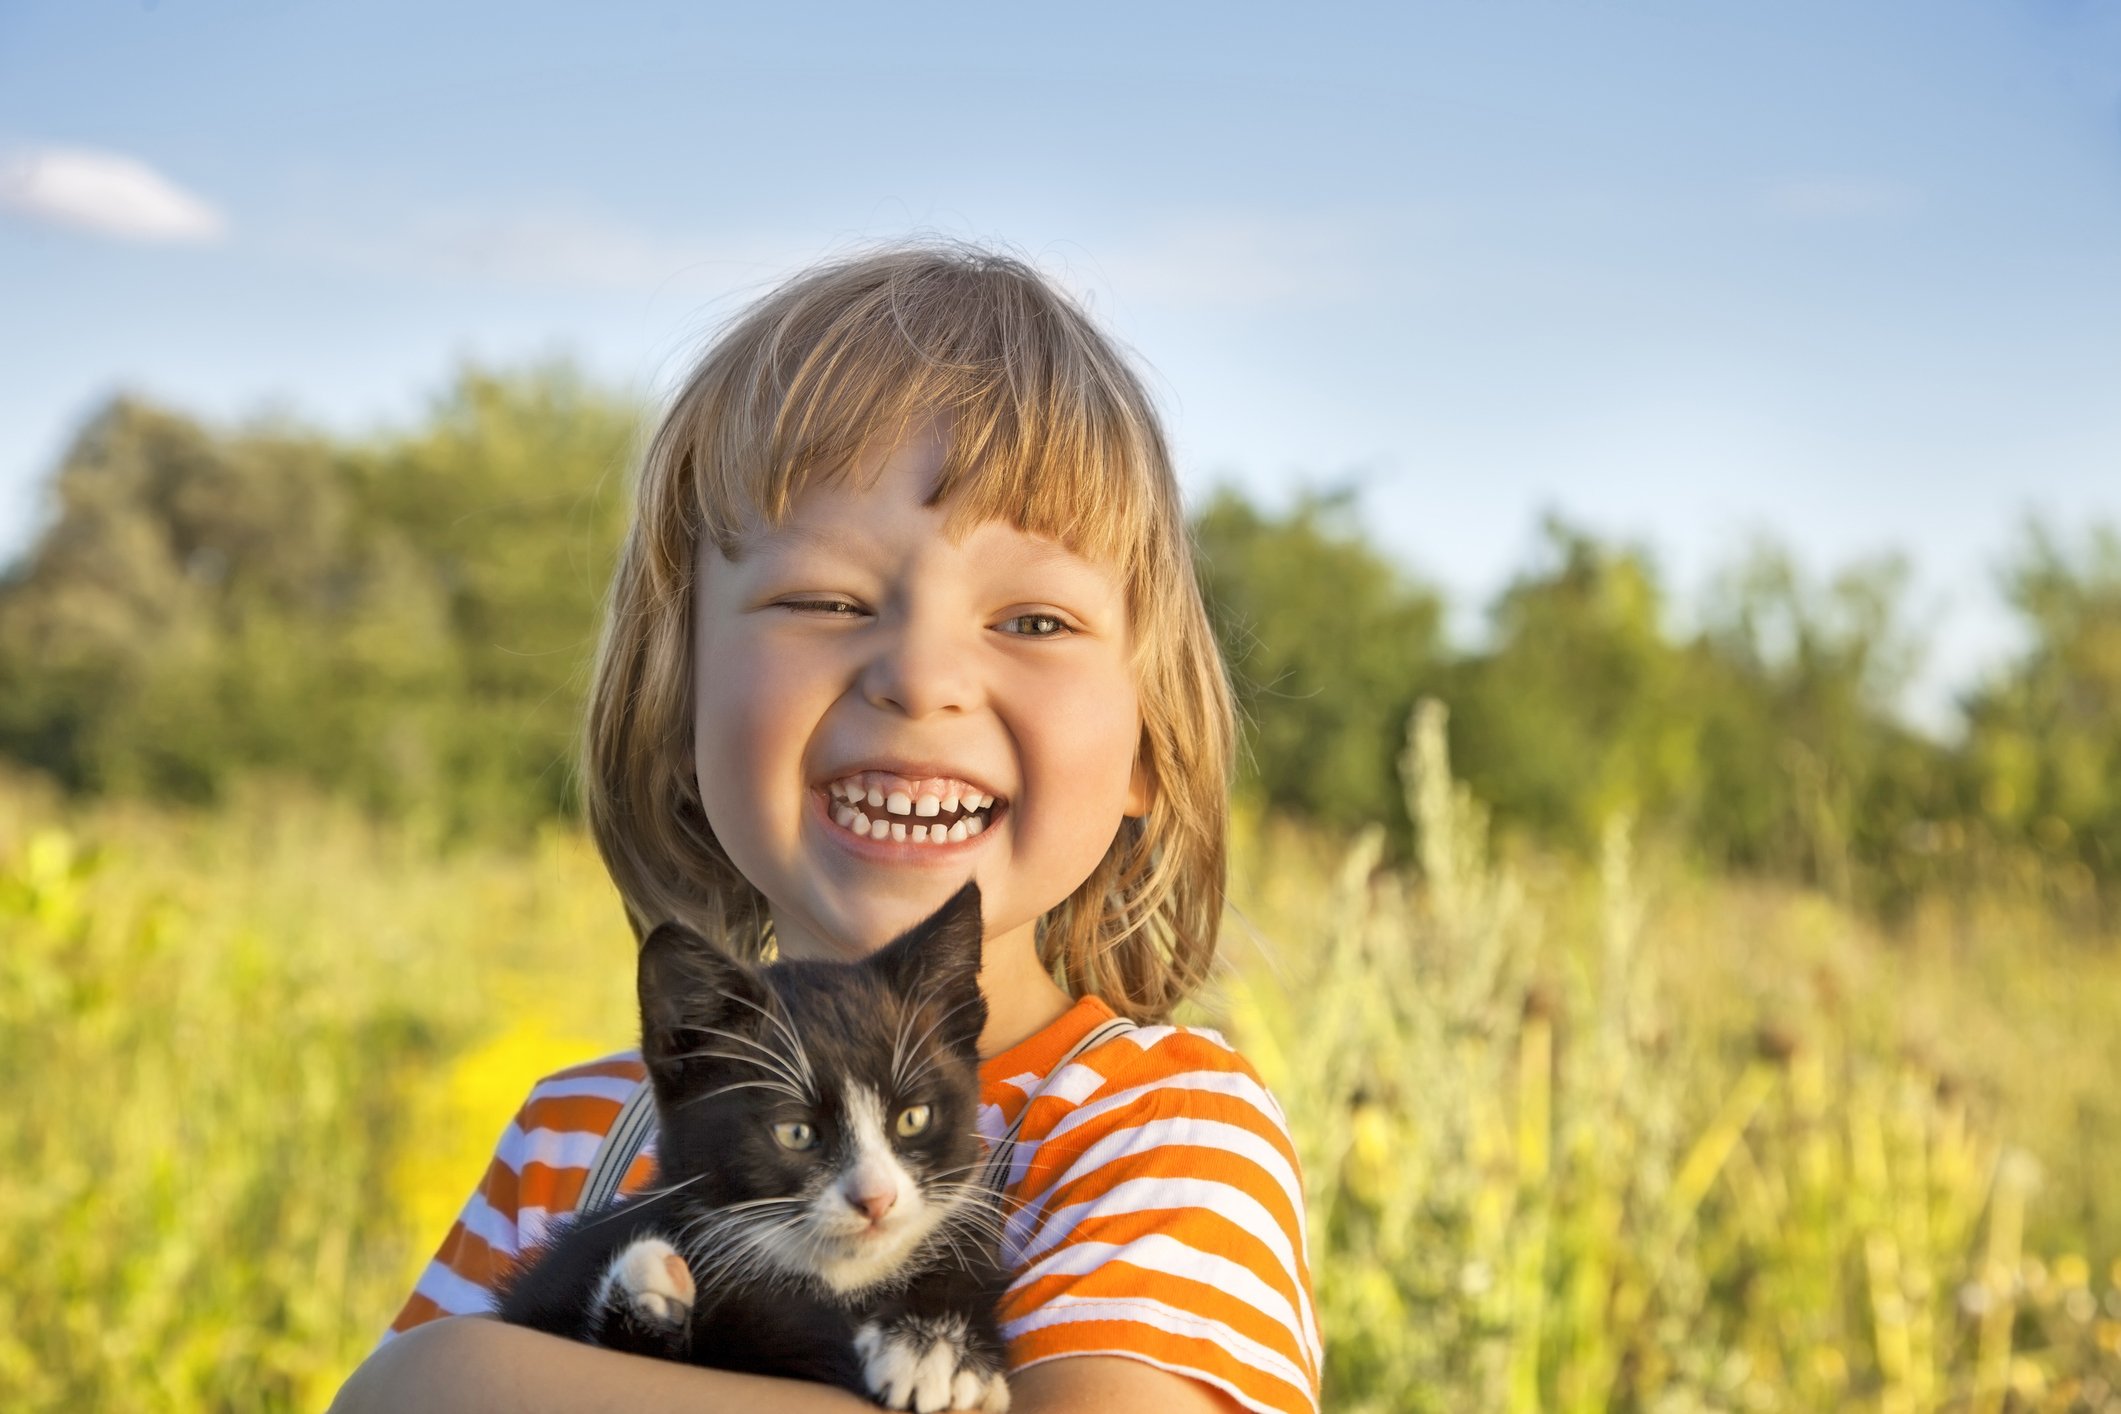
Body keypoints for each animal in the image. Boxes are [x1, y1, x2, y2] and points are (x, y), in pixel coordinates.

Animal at [504, 877, 1018, 1407]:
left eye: (914, 1118)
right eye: (796, 1133)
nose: (876, 1199)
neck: (835, 1281)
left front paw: (934, 1349)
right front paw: (650, 1287)